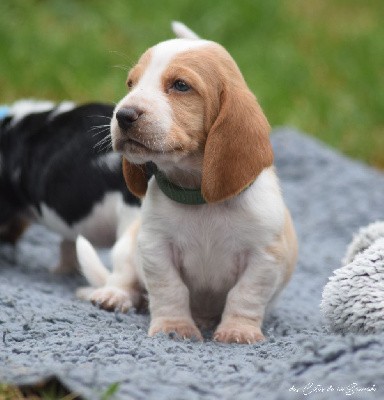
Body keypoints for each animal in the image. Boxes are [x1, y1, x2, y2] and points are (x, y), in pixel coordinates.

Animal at [76, 21, 298, 344]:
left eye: (180, 85)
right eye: (131, 84)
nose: (122, 115)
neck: (198, 196)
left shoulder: (263, 256)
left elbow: (244, 295)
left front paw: (238, 331)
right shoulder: (155, 247)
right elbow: (170, 290)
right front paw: (174, 328)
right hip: (128, 246)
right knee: (123, 277)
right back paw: (114, 295)